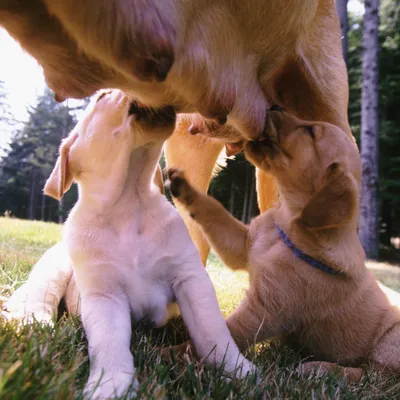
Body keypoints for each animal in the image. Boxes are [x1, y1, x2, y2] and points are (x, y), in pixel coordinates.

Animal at [167, 111, 400, 380]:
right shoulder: (244, 245)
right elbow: (214, 211)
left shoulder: (265, 310)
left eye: (310, 131)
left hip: (390, 341)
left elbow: (217, 337)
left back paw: (318, 368)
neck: (286, 226)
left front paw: (168, 353)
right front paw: (184, 186)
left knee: (371, 373)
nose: (273, 109)